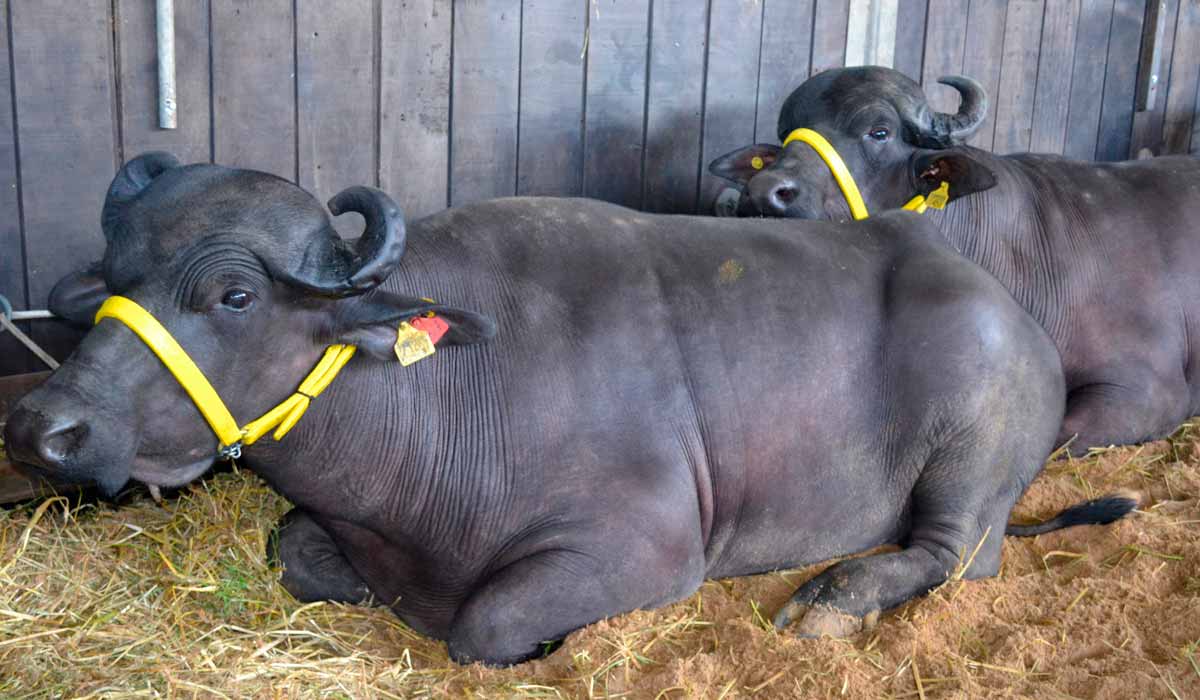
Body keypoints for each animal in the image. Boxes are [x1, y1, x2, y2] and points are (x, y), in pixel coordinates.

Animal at [2, 154, 1132, 667]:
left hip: (971, 452)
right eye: (116, 276)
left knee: (949, 553)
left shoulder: (648, 548)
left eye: (234, 294)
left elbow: (485, 622)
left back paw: (831, 598)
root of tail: (1005, 308)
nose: (44, 429)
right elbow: (297, 552)